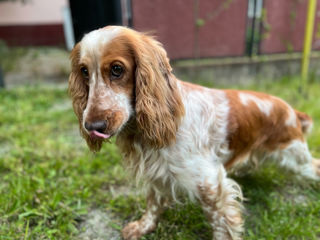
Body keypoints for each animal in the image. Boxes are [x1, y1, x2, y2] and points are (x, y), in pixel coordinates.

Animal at [68, 25, 320, 239]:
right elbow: (153, 204)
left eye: (117, 69)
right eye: (84, 72)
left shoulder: (211, 185)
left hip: (296, 157)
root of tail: (291, 110)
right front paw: (142, 227)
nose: (92, 127)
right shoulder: (157, 174)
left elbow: (222, 226)